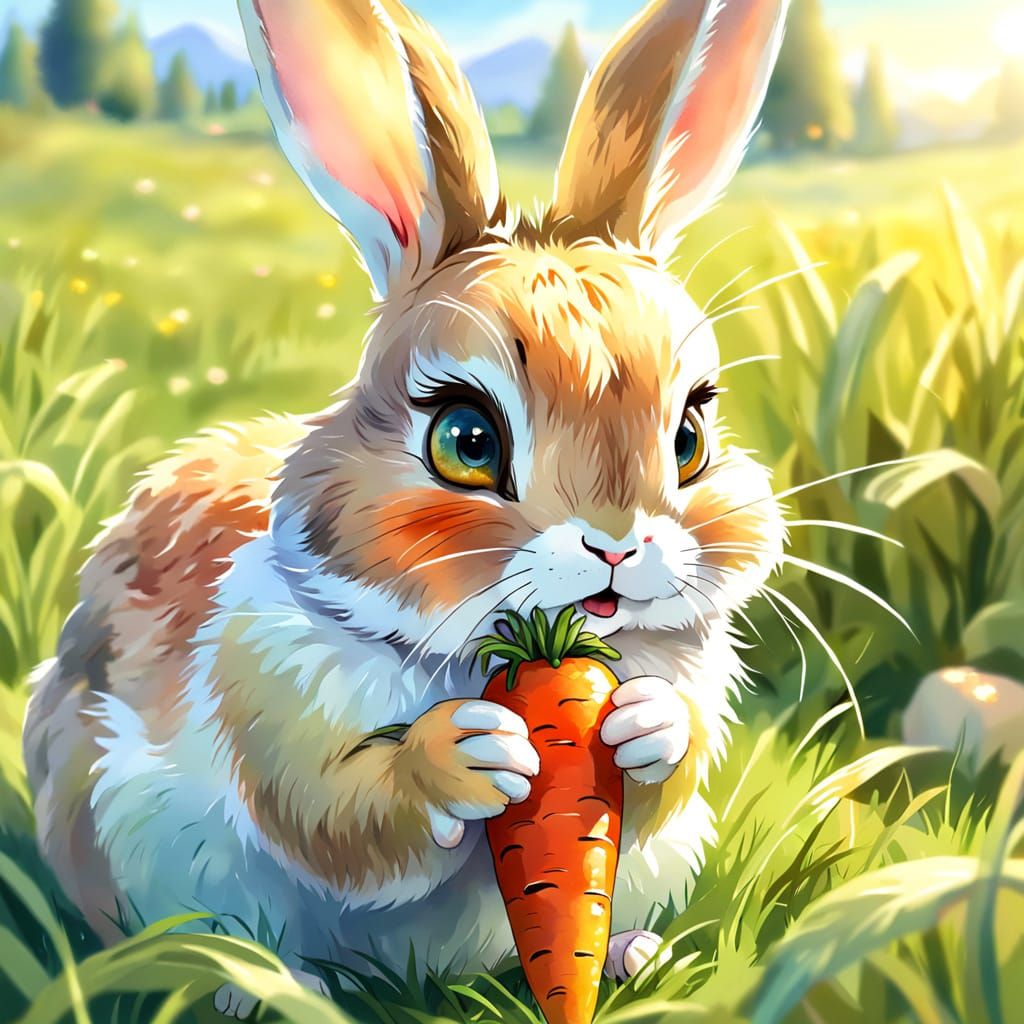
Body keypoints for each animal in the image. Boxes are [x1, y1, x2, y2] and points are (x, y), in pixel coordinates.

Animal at [24, 0, 790, 1015]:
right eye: (466, 439)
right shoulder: (272, 699)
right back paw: (263, 988)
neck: (498, 656)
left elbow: (672, 764)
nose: (618, 547)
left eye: (691, 435)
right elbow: (340, 811)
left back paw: (635, 953)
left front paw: (647, 724)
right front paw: (464, 755)